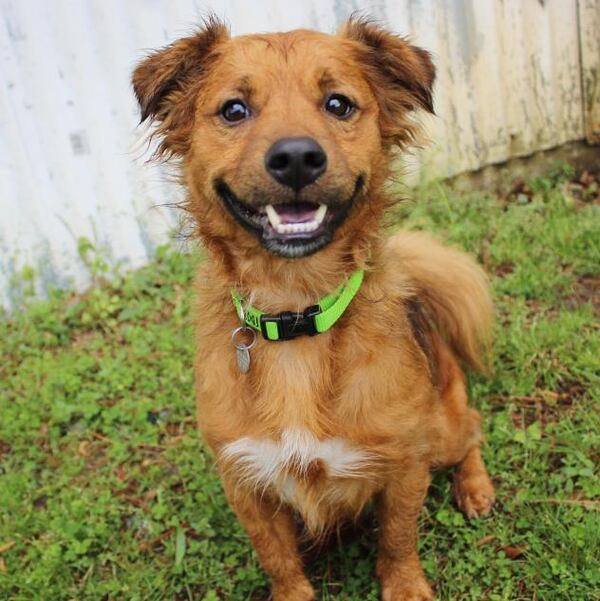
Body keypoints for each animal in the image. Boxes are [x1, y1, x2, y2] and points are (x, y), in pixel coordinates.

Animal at [134, 15, 494, 600]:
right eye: (234, 109)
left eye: (338, 104)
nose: (297, 158)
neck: (296, 312)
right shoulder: (244, 479)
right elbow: (278, 558)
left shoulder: (405, 461)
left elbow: (398, 538)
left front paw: (405, 586)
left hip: (440, 432)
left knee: (472, 431)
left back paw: (477, 487)